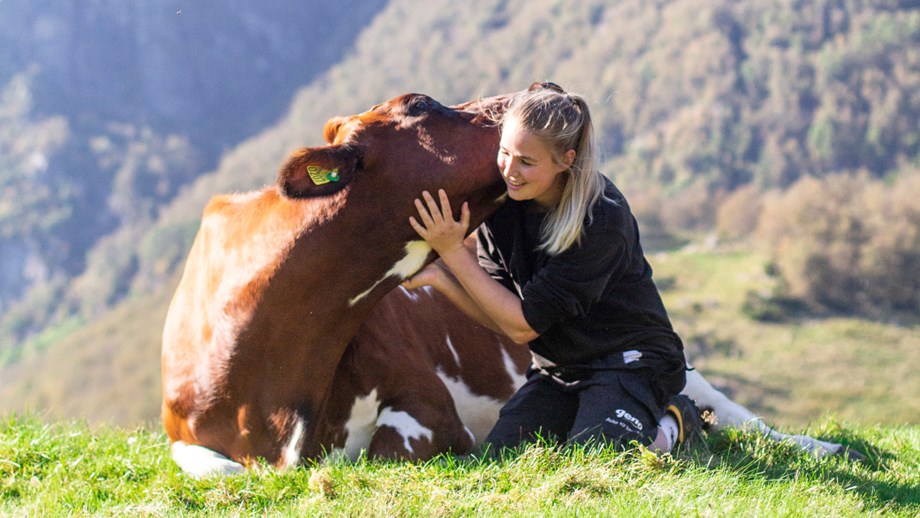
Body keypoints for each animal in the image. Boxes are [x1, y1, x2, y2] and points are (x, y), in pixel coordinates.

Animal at [162, 86, 860, 480]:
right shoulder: (183, 435)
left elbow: (397, 449)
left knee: (743, 419)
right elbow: (216, 470)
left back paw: (821, 446)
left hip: (686, 366)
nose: (544, 84)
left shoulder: (429, 411)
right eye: (420, 105)